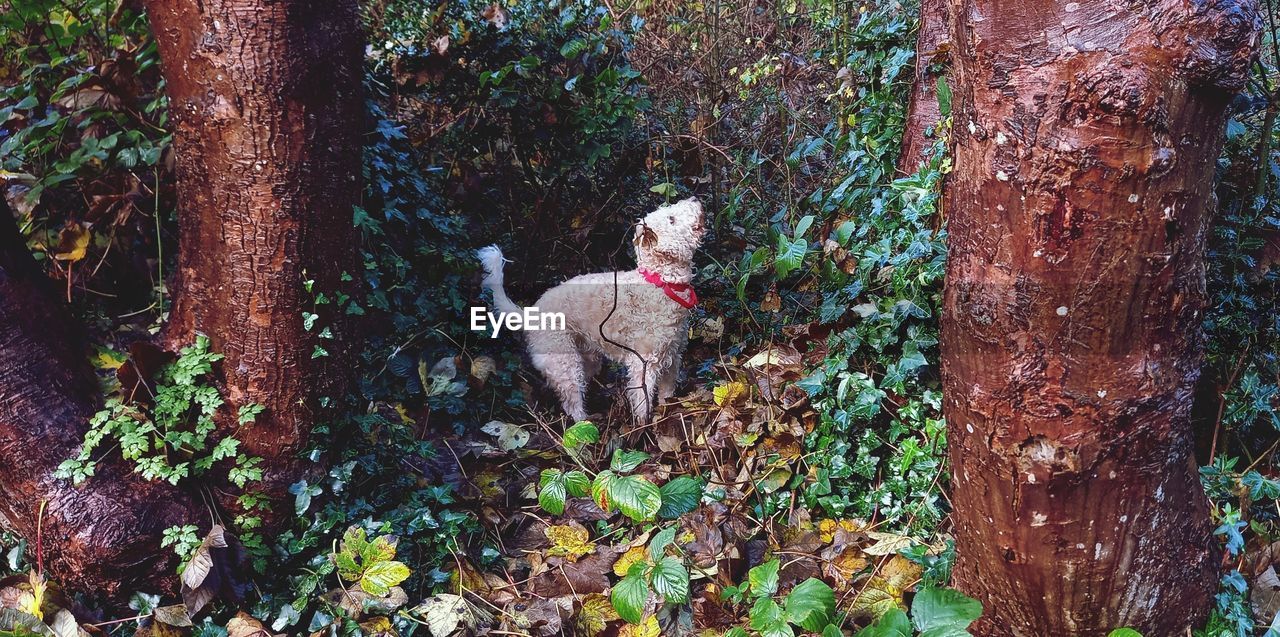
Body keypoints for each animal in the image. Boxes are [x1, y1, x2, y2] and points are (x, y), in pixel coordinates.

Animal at [478, 198, 706, 427]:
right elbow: (643, 403)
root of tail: (530, 313)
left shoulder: (672, 357)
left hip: (586, 358)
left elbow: (668, 394)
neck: (660, 282)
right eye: (672, 218)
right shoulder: (643, 365)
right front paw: (644, 428)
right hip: (564, 362)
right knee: (571, 403)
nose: (695, 199)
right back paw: (584, 426)